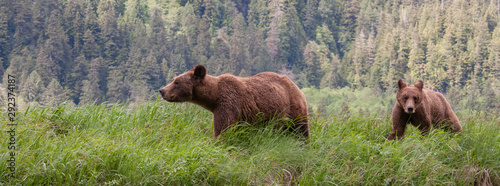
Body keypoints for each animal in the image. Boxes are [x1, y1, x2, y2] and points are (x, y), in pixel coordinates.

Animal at [159, 65, 308, 140]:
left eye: (177, 82)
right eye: (173, 79)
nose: (162, 90)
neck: (214, 97)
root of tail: (296, 86)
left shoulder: (228, 104)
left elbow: (223, 129)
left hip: (293, 108)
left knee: (301, 129)